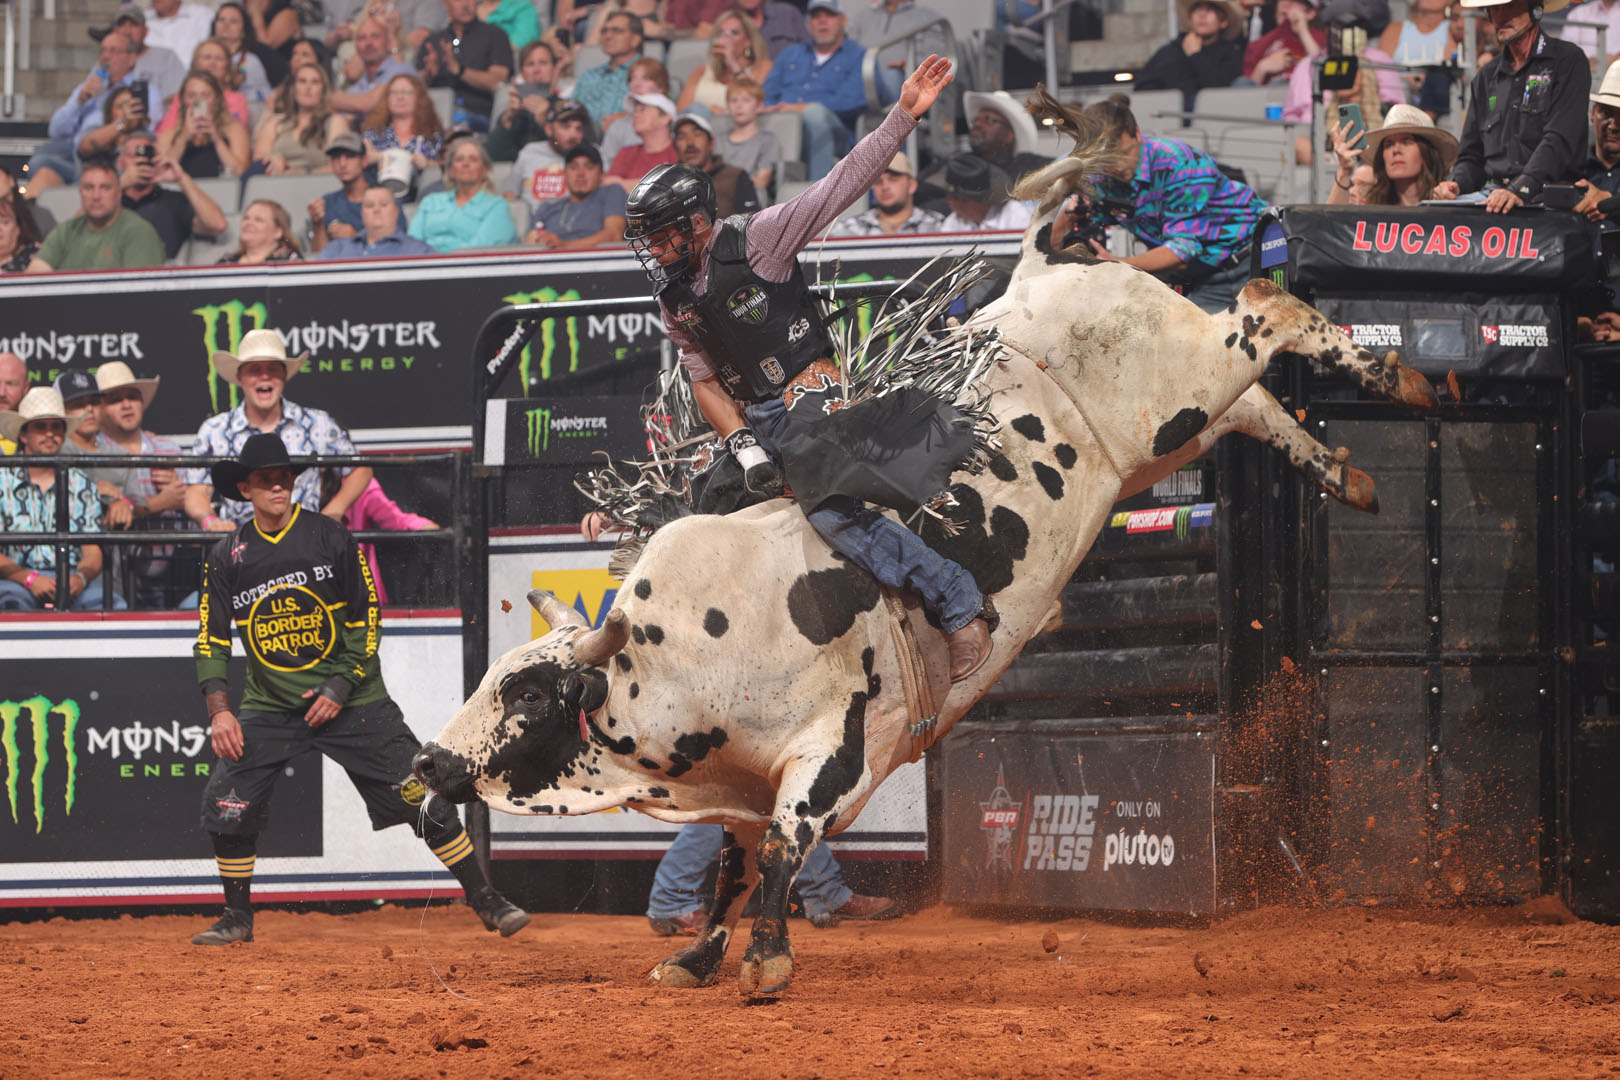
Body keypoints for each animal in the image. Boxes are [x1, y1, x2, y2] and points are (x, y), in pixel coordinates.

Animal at [414, 117, 1437, 999]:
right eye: (495, 676)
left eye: (528, 697)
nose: (429, 762)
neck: (679, 650)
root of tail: (1038, 270)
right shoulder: (740, 787)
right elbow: (730, 868)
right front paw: (698, 957)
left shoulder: (832, 755)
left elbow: (780, 850)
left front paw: (767, 964)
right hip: (1170, 432)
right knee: (1258, 403)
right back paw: (1348, 475)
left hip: (1180, 387)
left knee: (1267, 312)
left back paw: (1397, 374)